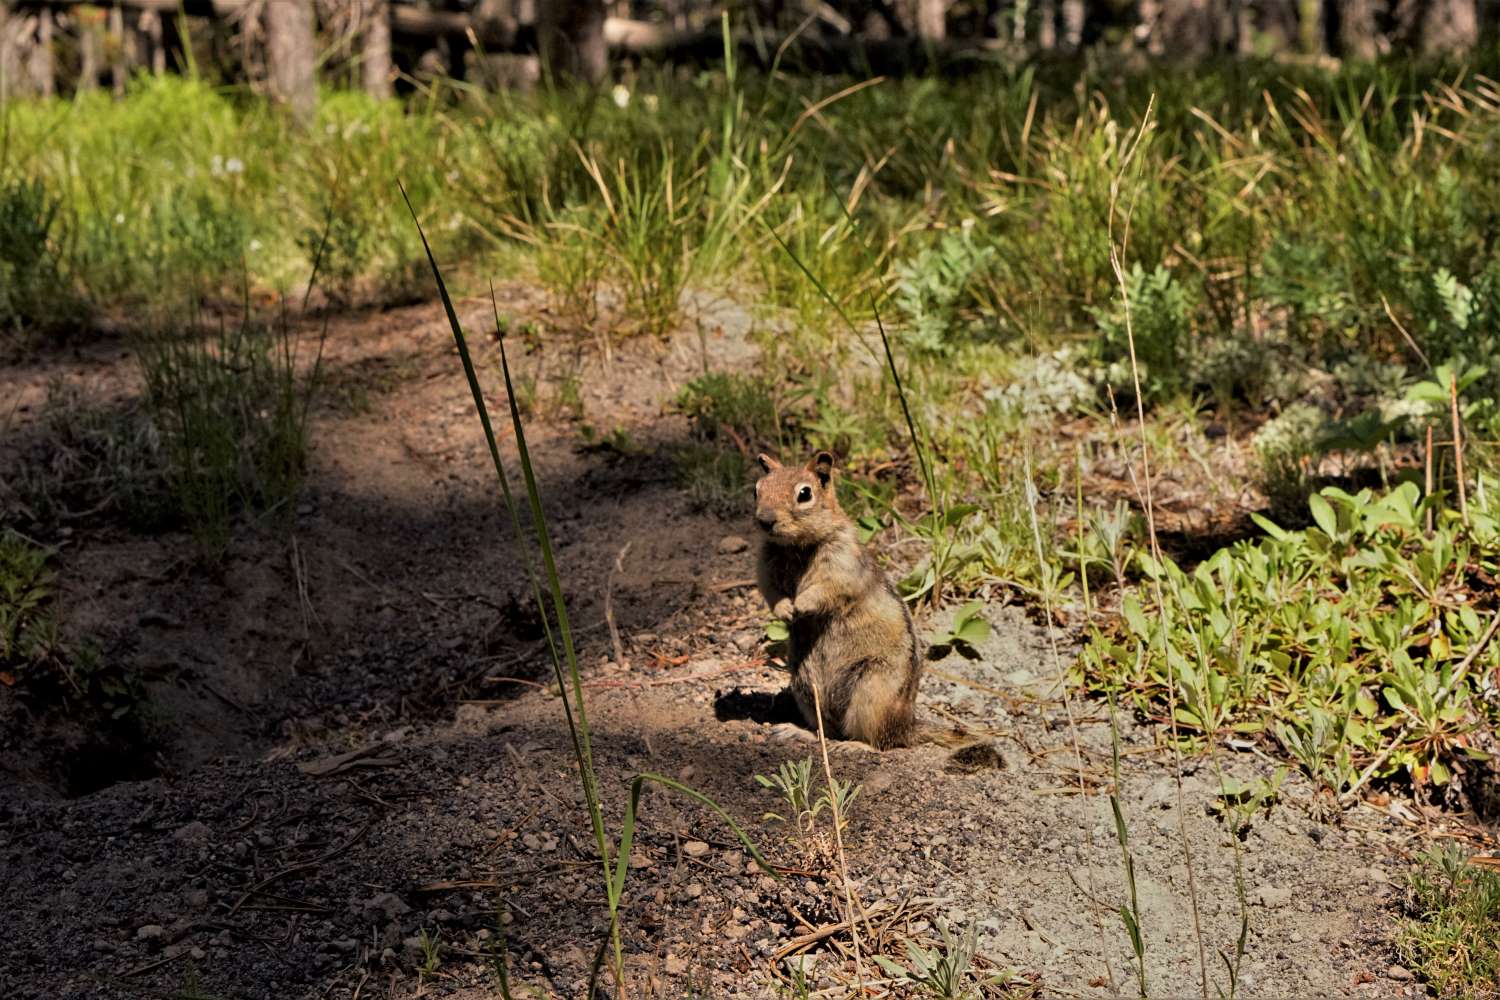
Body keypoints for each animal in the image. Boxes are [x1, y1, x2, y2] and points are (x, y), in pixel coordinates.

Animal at [756, 449, 918, 746]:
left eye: (805, 493)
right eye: (757, 490)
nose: (765, 520)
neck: (796, 547)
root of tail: (907, 727)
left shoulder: (841, 565)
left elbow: (827, 589)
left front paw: (801, 604)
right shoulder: (765, 565)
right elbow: (771, 592)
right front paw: (785, 609)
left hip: (871, 689)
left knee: (875, 741)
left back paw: (854, 747)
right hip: (805, 688)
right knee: (828, 731)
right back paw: (795, 731)